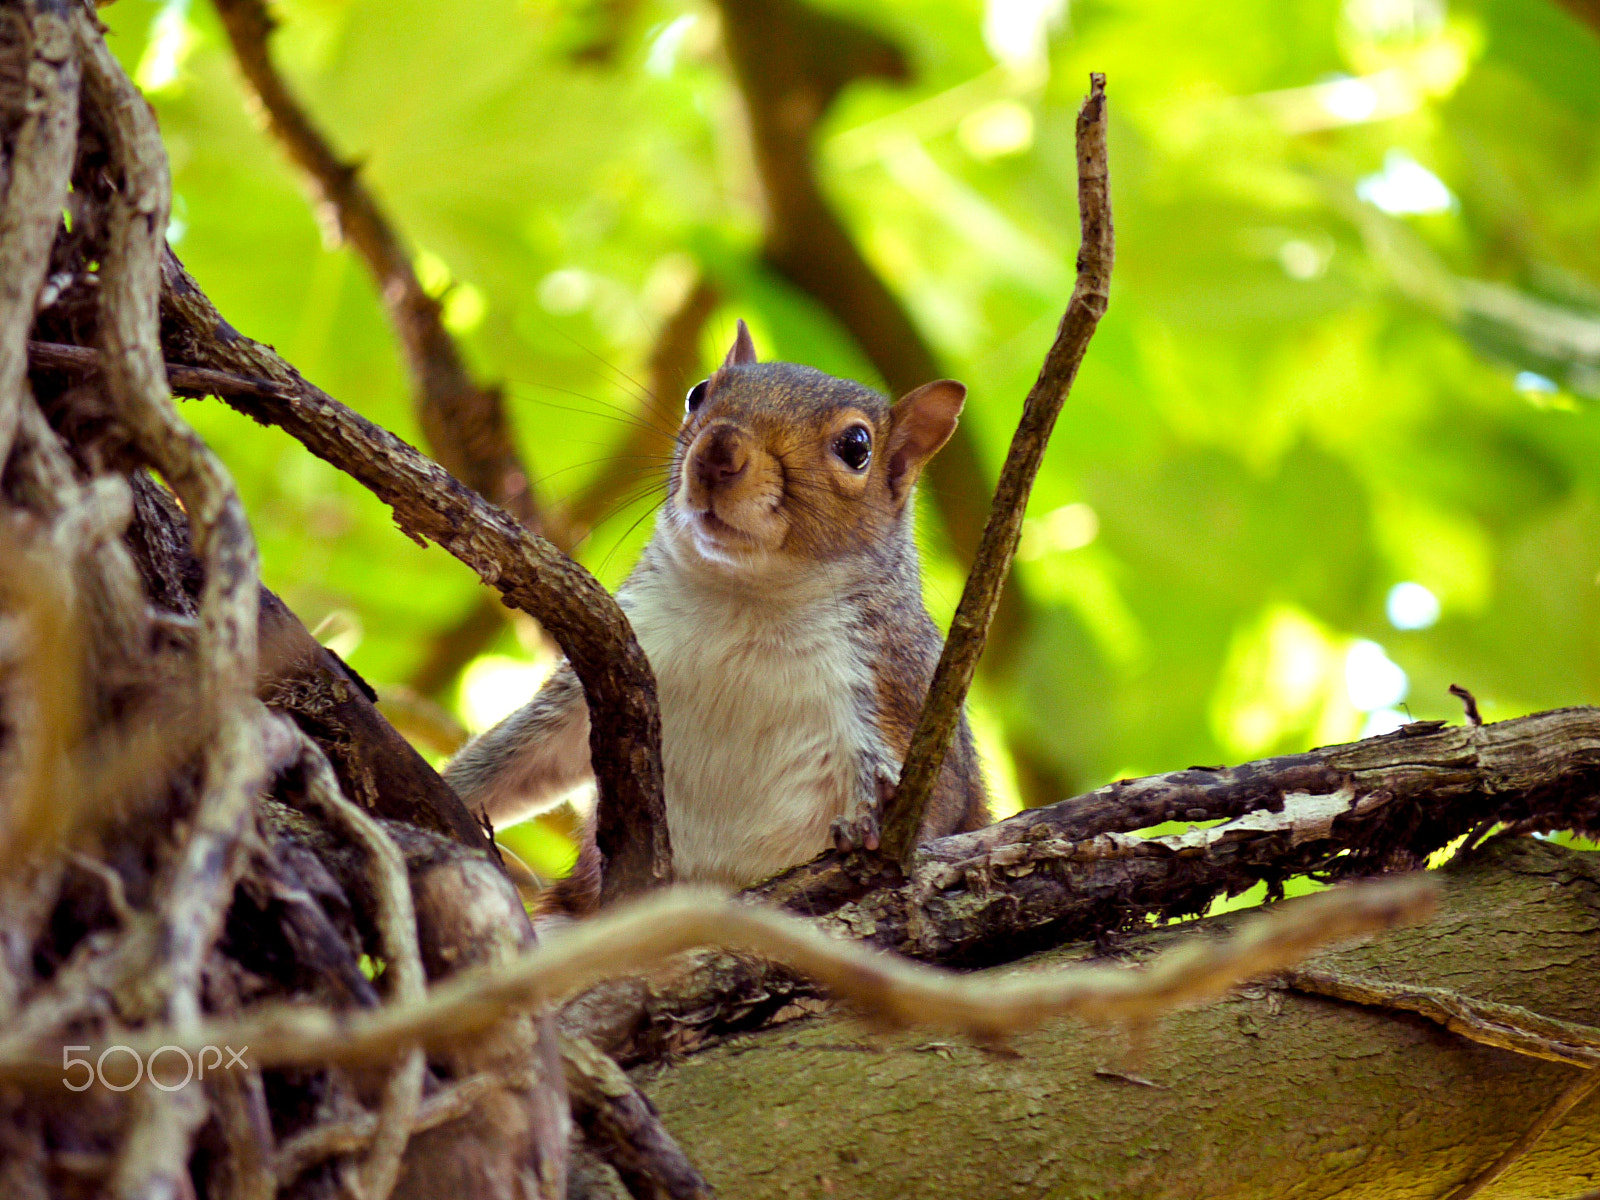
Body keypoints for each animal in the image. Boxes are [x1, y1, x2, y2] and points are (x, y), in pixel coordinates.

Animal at [441, 324, 985, 915]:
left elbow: (940, 806)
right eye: (697, 393)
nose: (719, 449)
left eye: (857, 447)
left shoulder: (898, 686)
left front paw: (877, 817)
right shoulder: (606, 670)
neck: (745, 601)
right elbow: (521, 757)